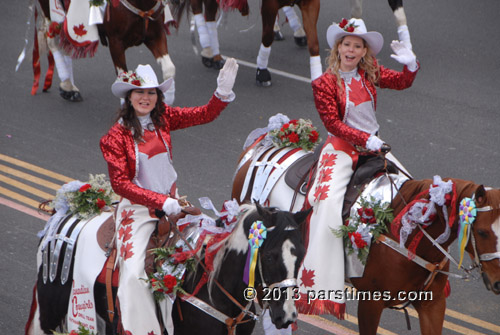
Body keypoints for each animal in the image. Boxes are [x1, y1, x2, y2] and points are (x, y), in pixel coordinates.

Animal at [33, 0, 187, 103]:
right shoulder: (116, 42)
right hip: (49, 9)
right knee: (54, 43)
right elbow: (124, 80)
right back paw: (67, 86)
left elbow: (169, 68)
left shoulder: (155, 35)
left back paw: (68, 87)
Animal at [230, 135, 500, 334]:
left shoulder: (433, 304)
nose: (498, 283)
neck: (408, 236)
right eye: (482, 231)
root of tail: (262, 144)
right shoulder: (371, 302)